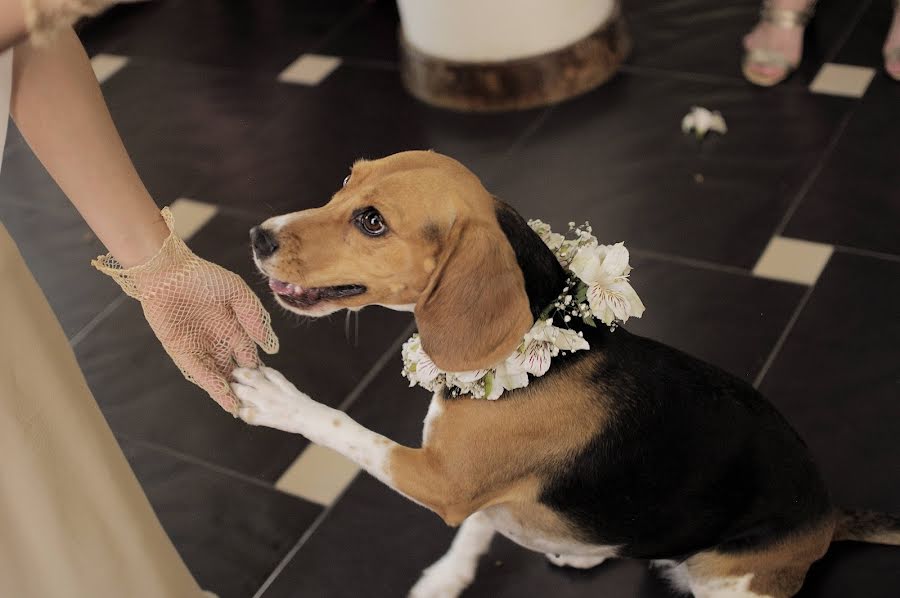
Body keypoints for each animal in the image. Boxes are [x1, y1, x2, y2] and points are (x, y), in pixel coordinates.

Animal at [234, 151, 900, 598]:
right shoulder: (470, 492)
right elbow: (476, 529)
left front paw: (277, 400)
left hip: (725, 574)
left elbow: (343, 426)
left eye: (372, 222)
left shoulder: (442, 481)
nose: (257, 235)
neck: (537, 347)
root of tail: (828, 516)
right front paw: (446, 578)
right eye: (347, 180)